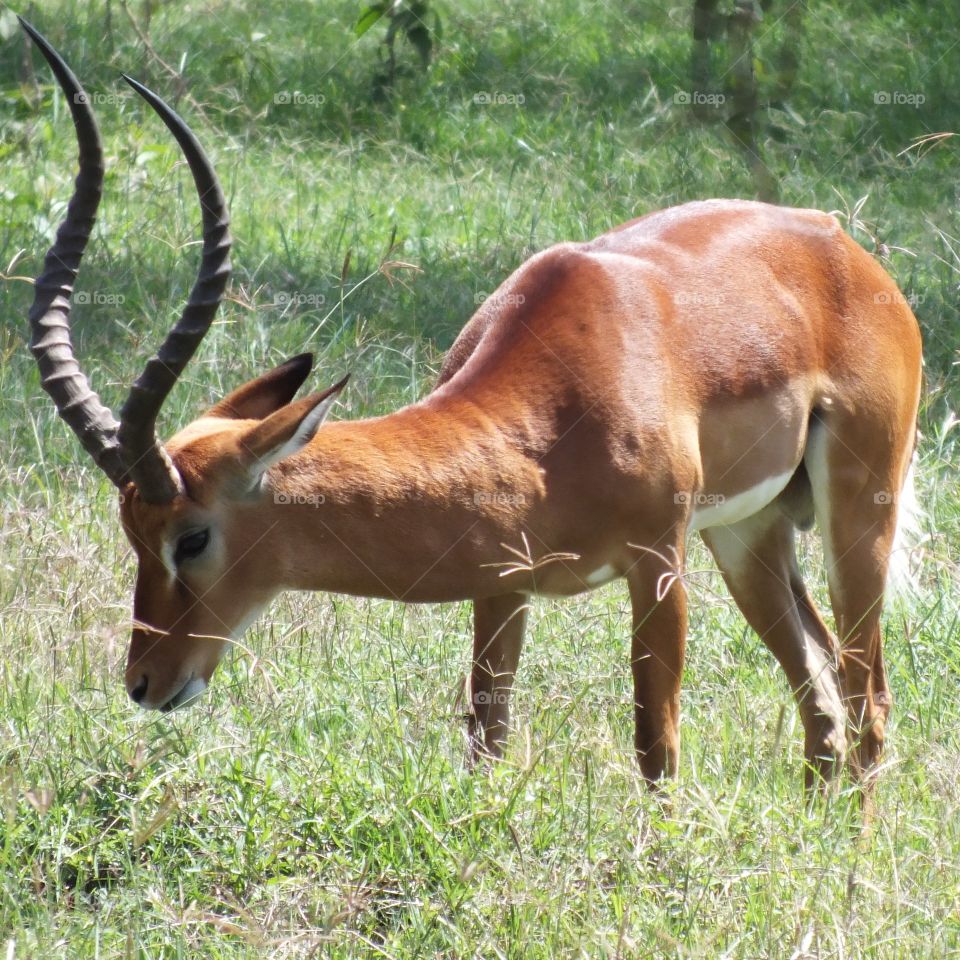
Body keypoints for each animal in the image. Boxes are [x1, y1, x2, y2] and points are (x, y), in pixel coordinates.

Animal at [23, 19, 922, 791]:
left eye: (191, 537)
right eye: (130, 534)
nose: (144, 683)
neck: (552, 421)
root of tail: (842, 244)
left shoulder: (658, 562)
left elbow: (655, 746)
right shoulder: (501, 581)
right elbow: (486, 740)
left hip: (855, 511)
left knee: (868, 698)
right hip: (749, 532)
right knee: (822, 697)